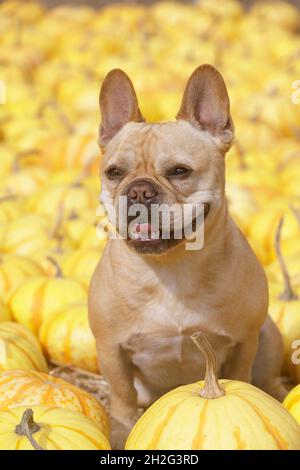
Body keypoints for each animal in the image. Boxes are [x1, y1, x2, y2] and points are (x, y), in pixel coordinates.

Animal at [88, 64, 286, 450]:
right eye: (114, 173)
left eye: (180, 171)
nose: (140, 190)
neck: (171, 266)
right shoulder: (110, 349)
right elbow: (121, 395)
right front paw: (121, 429)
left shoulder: (245, 342)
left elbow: (241, 376)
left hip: (268, 334)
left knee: (268, 379)